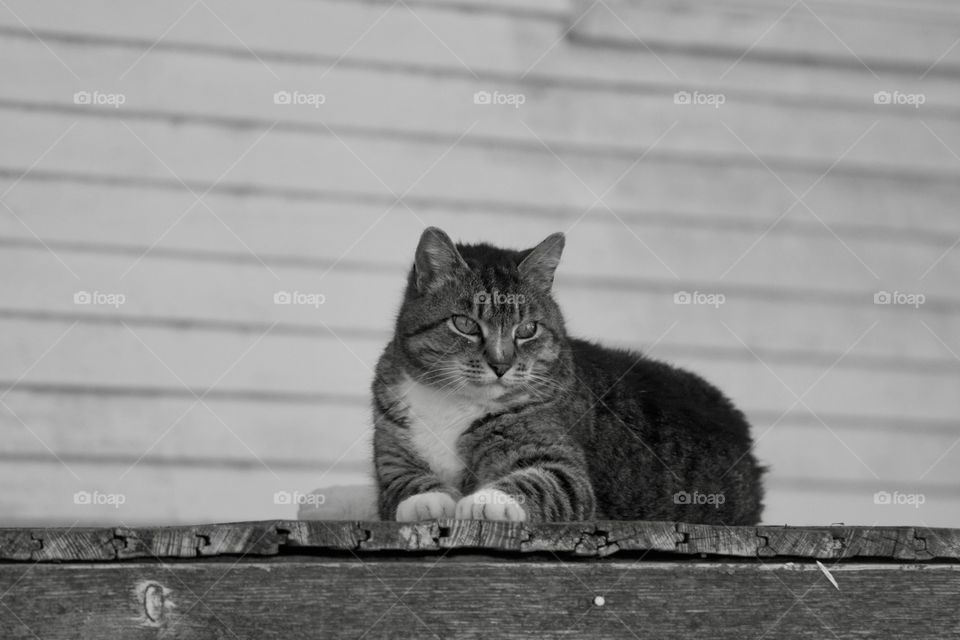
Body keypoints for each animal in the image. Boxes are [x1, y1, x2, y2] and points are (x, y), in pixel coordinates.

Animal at [370, 228, 764, 524]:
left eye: (527, 330)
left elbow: (546, 481)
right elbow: (401, 482)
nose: (501, 364)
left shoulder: (563, 464)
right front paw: (426, 499)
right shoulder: (391, 454)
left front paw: (484, 501)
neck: (456, 402)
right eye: (465, 325)